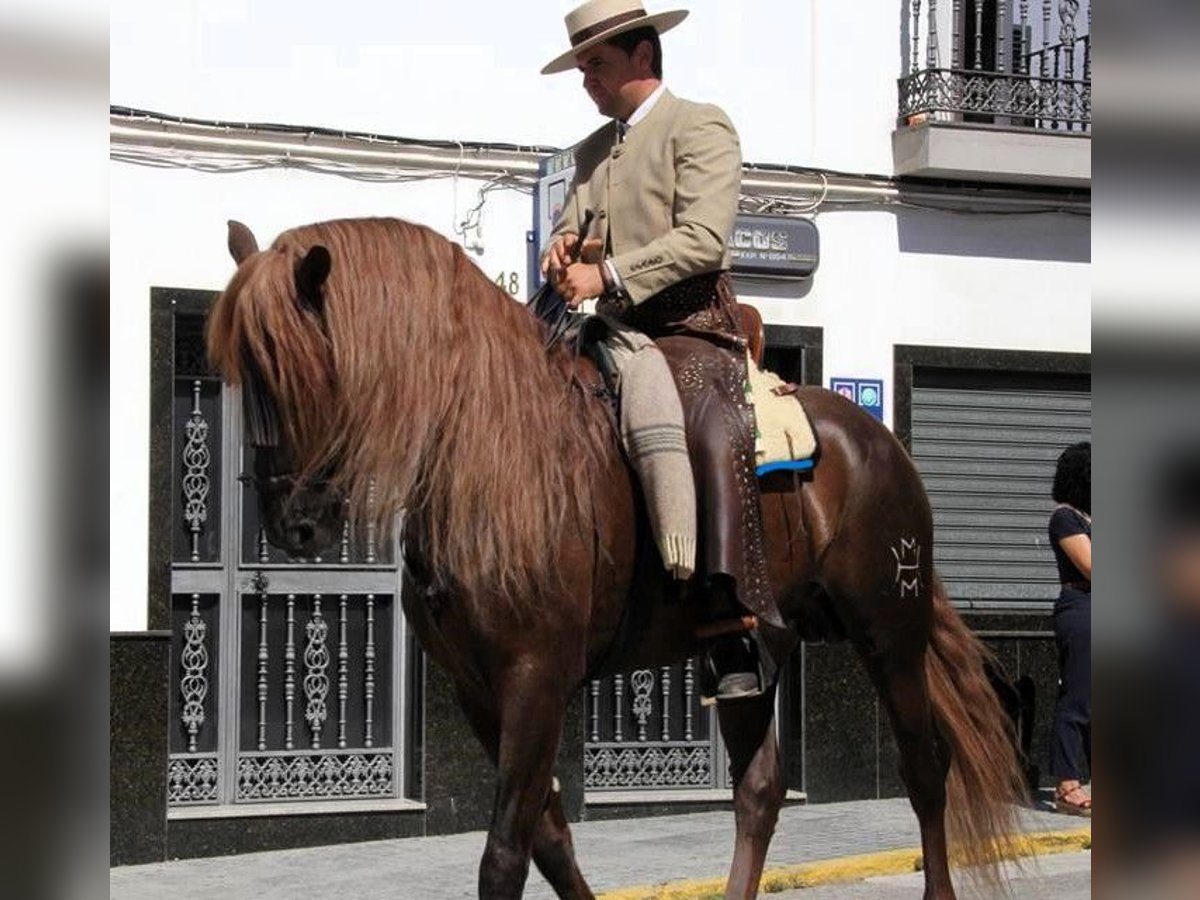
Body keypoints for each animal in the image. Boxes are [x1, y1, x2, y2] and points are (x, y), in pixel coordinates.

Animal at [204, 218, 1022, 900]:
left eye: (305, 369)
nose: (292, 526)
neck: (494, 452)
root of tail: (875, 440)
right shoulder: (478, 689)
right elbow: (548, 839)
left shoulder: (536, 679)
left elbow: (505, 855)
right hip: (756, 645)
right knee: (759, 790)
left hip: (890, 632)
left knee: (925, 769)